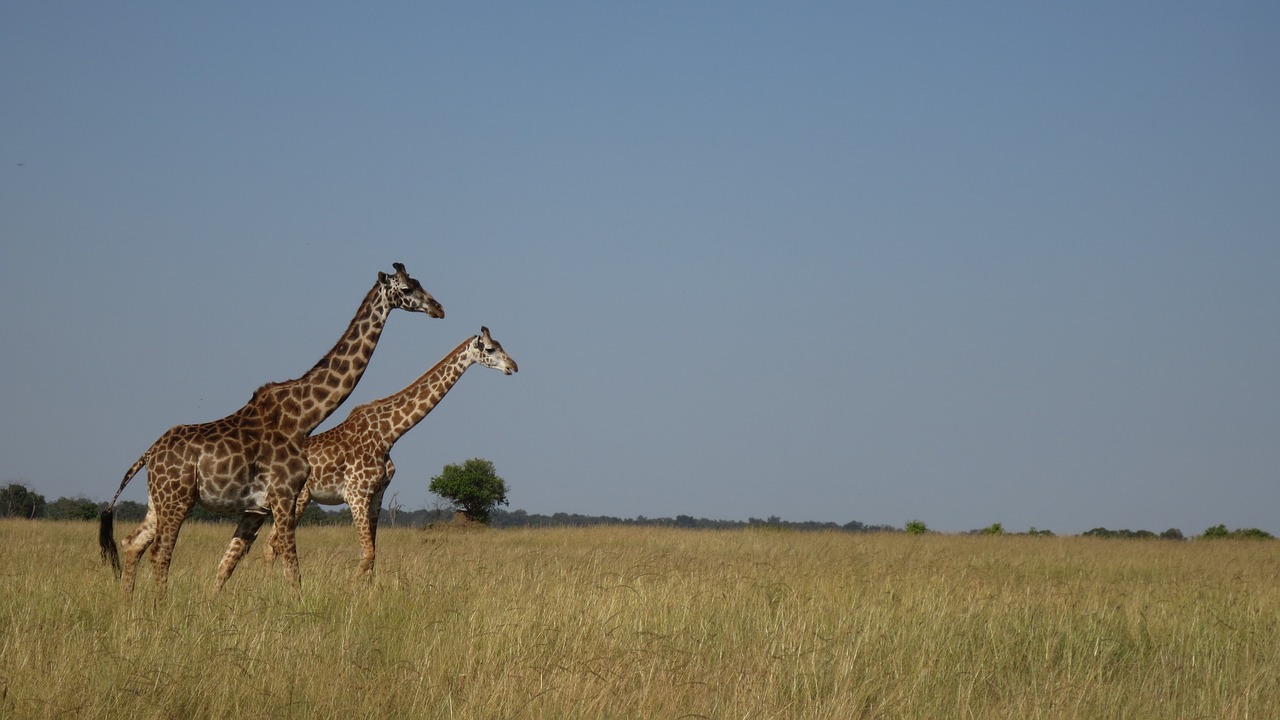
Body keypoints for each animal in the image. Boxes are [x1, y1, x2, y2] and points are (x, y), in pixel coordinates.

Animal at [96, 260, 445, 591]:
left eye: (419, 282)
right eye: (407, 288)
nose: (439, 308)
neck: (303, 417)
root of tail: (148, 455)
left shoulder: (258, 508)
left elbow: (229, 564)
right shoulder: (284, 496)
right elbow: (292, 571)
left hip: (158, 502)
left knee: (132, 544)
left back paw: (128, 608)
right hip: (176, 499)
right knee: (160, 554)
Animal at [267, 327, 517, 573]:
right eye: (490, 348)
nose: (513, 366)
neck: (389, 434)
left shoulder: (378, 494)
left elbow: (372, 556)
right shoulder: (356, 494)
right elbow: (368, 554)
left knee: (270, 545)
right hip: (297, 498)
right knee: (275, 544)